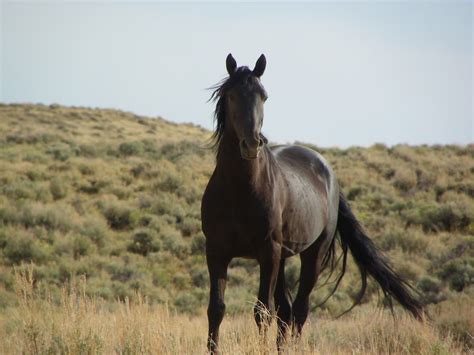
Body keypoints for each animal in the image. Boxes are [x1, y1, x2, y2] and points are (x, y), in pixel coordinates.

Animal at [200, 53, 422, 354]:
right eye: (231, 95)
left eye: (264, 96)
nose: (252, 144)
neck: (239, 190)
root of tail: (328, 171)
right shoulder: (217, 251)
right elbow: (217, 308)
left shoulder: (267, 253)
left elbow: (261, 311)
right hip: (282, 258)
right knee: (285, 310)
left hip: (311, 255)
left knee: (299, 310)